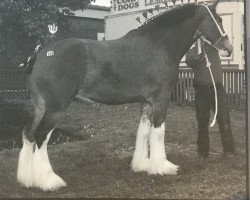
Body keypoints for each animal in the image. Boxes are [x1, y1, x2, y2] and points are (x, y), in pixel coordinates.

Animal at [17, 0, 232, 191]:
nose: (229, 48)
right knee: (41, 135)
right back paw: (49, 181)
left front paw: (142, 165)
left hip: (40, 106)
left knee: (28, 133)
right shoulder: (161, 99)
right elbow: (158, 132)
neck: (159, 44)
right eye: (219, 19)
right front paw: (163, 167)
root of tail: (40, 54)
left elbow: (143, 132)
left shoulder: (147, 103)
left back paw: (27, 179)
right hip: (56, 107)